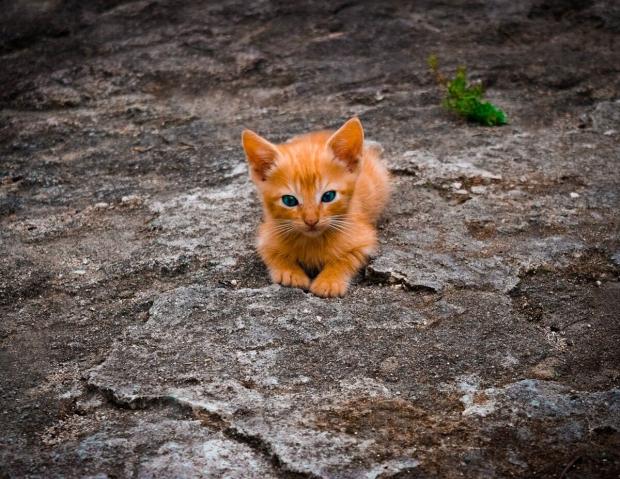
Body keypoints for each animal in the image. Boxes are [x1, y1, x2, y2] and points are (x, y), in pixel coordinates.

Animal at [241, 116, 390, 298]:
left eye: (328, 196)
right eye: (289, 200)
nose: (311, 221)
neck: (312, 241)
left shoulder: (363, 238)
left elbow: (346, 258)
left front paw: (329, 281)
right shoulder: (266, 237)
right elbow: (274, 255)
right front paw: (290, 273)